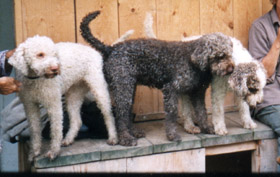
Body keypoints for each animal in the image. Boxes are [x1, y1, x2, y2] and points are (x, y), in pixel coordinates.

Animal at [80, 11, 235, 147]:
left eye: (229, 54)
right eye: (219, 56)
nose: (231, 69)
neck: (193, 60)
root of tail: (110, 48)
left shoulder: (197, 93)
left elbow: (201, 111)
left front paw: (207, 128)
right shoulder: (171, 89)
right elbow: (172, 113)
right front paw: (172, 135)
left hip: (129, 88)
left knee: (127, 112)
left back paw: (133, 132)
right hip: (123, 87)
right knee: (120, 114)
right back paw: (126, 139)